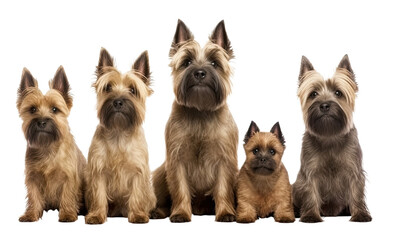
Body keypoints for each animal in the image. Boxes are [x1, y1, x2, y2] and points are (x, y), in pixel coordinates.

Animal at [17, 65, 86, 221]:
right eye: (32, 109)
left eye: (55, 109)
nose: (42, 122)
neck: (47, 147)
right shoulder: (33, 177)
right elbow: (34, 196)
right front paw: (31, 214)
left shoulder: (68, 177)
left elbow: (67, 195)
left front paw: (67, 214)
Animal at [84, 47, 155, 224]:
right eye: (108, 87)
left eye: (133, 90)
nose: (117, 102)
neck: (119, 132)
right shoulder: (98, 171)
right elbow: (99, 195)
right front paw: (96, 215)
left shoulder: (138, 172)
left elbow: (137, 194)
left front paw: (137, 215)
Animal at [151, 19, 238, 222]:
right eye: (187, 62)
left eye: (214, 63)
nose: (199, 73)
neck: (201, 111)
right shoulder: (177, 160)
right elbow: (180, 189)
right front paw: (181, 213)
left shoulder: (225, 161)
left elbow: (223, 188)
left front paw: (225, 213)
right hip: (160, 173)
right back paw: (158, 212)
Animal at [290, 54, 372, 223]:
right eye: (313, 94)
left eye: (338, 93)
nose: (324, 105)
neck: (329, 136)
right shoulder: (310, 172)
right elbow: (311, 193)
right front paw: (310, 215)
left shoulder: (354, 170)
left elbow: (356, 192)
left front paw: (360, 214)